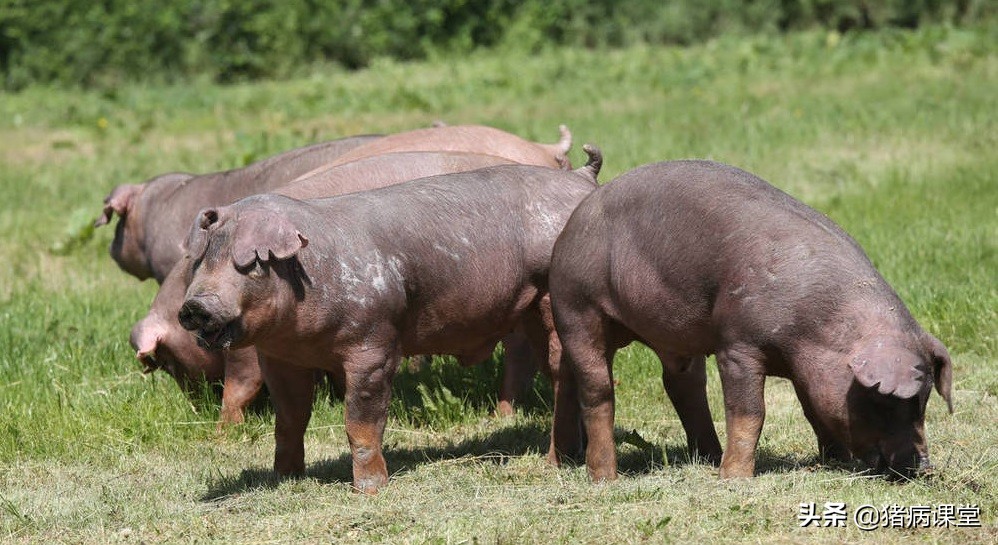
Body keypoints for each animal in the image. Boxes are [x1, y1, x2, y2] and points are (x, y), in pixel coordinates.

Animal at [176, 147, 604, 490]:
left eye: (248, 265)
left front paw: (369, 490)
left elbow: (360, 422)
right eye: (202, 260)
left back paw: (555, 462)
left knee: (562, 373)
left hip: (554, 298)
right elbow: (290, 416)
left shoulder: (374, 341)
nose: (194, 306)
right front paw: (285, 478)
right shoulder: (281, 358)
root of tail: (581, 178)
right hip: (529, 309)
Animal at [552, 158, 956, 480]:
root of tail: (576, 219)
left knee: (670, 385)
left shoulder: (805, 367)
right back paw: (605, 478)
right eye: (886, 401)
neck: (816, 329)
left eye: (923, 403)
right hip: (576, 306)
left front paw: (836, 461)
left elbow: (813, 409)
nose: (924, 467)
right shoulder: (736, 344)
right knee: (597, 388)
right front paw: (735, 479)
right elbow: (749, 411)